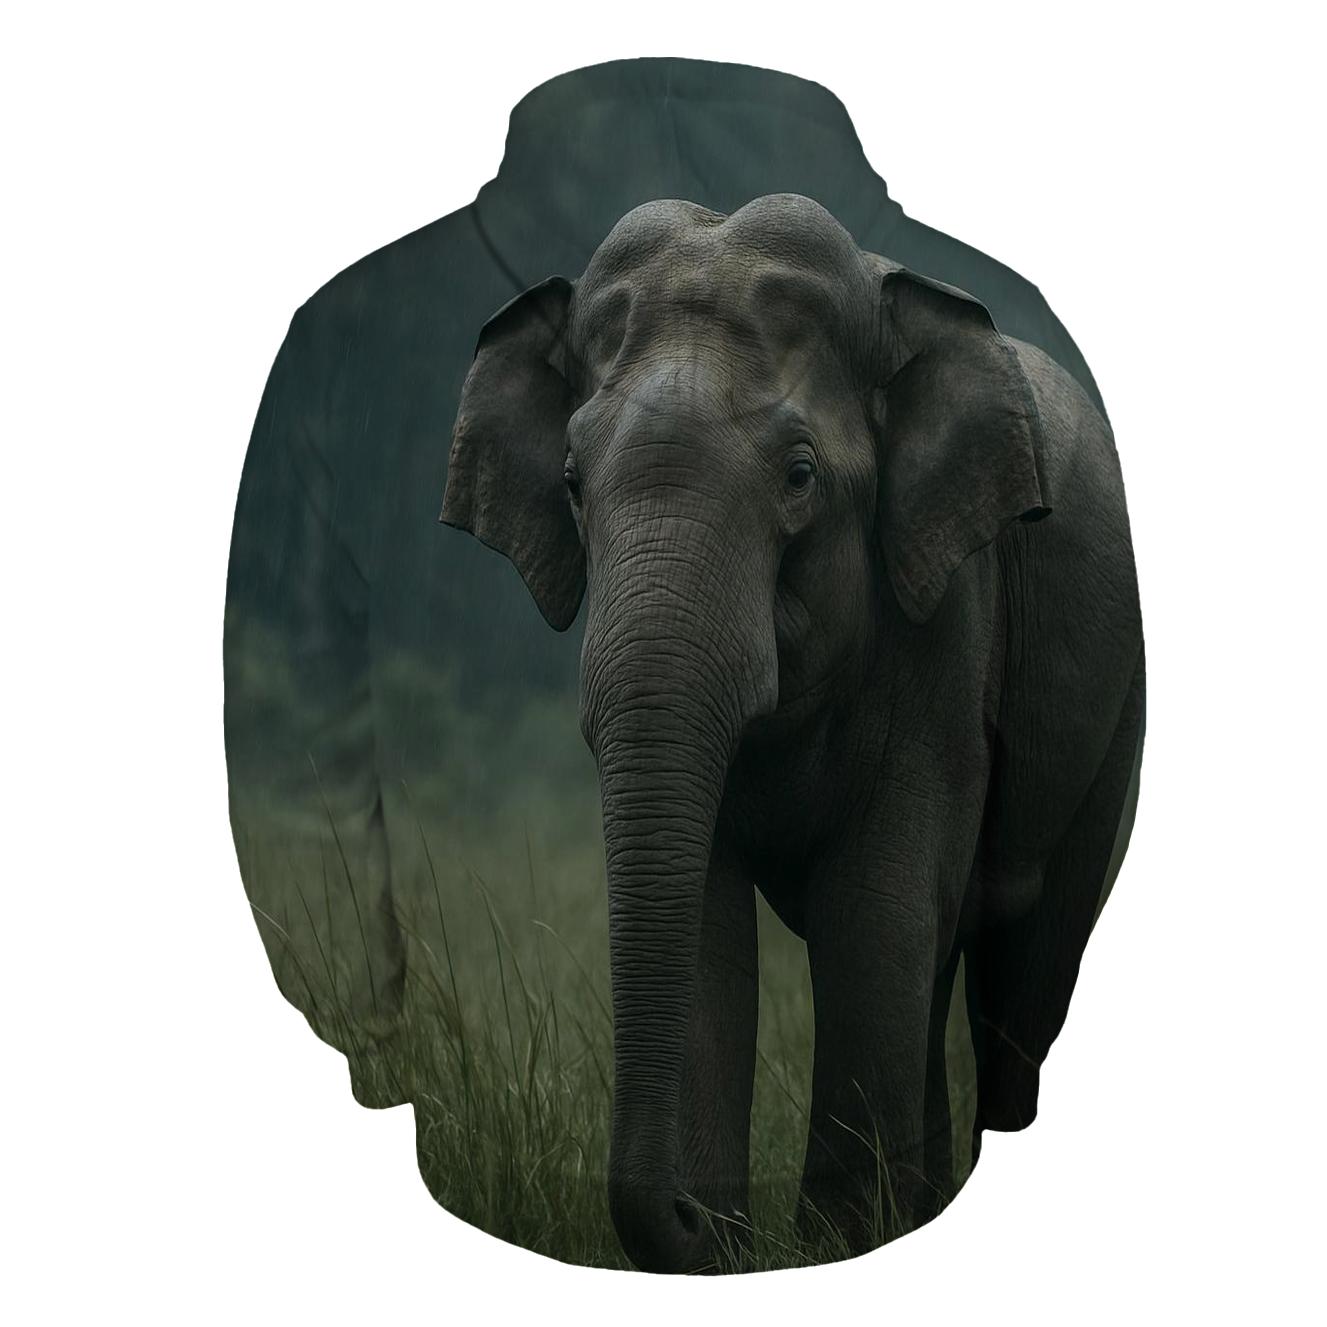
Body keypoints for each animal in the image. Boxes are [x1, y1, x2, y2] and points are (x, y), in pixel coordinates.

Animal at [439, 192, 1145, 1272]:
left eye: (802, 474)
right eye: (569, 481)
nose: (693, 1213)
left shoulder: (947, 620)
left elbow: (871, 909)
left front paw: (828, 1246)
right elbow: (710, 920)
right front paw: (739, 1244)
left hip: (1113, 712)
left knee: (1025, 958)